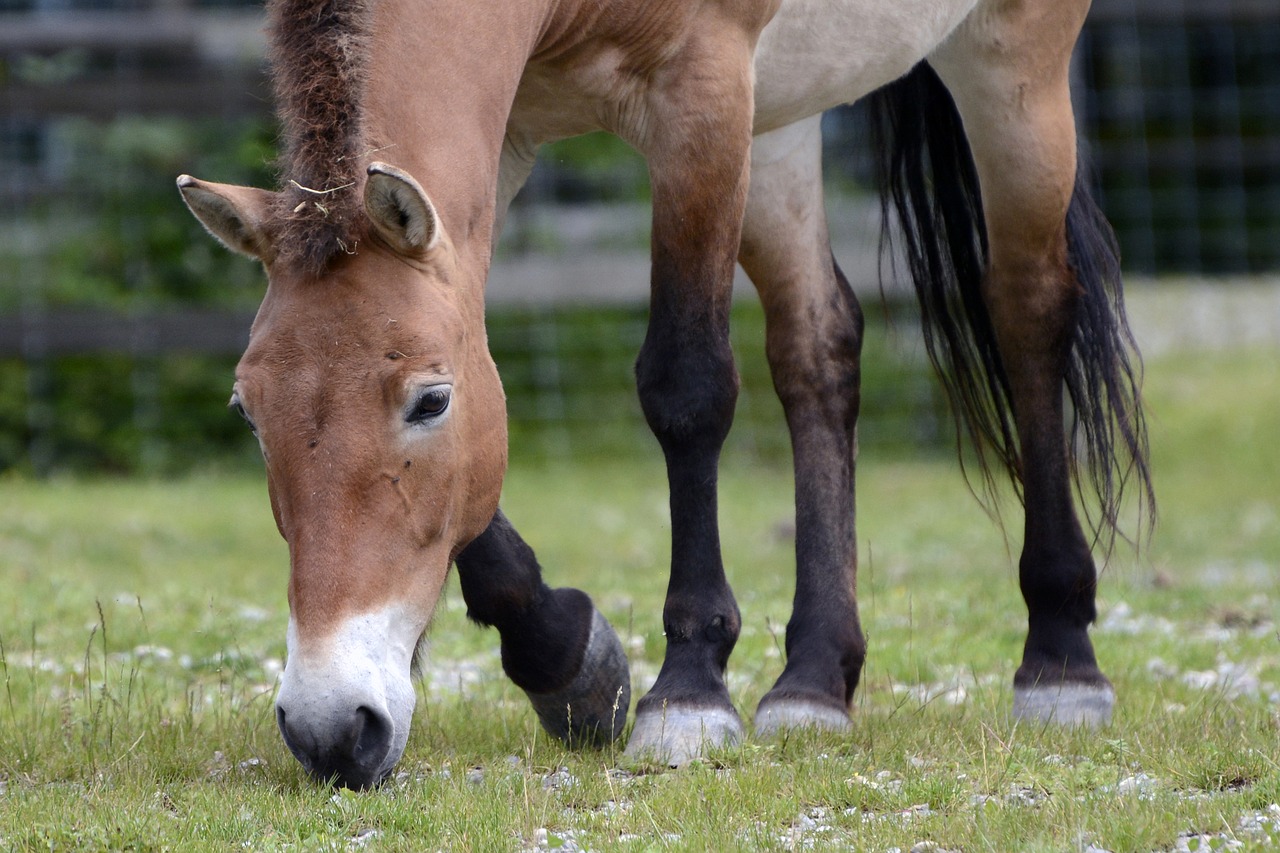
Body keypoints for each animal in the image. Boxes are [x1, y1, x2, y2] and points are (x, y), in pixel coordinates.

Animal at [177, 0, 1152, 788]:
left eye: (429, 402)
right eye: (250, 414)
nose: (332, 728)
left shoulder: (700, 90)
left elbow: (687, 386)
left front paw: (687, 693)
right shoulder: (509, 142)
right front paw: (570, 662)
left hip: (1011, 60)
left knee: (1028, 310)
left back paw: (1061, 661)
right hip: (779, 118)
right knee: (817, 342)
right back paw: (813, 683)